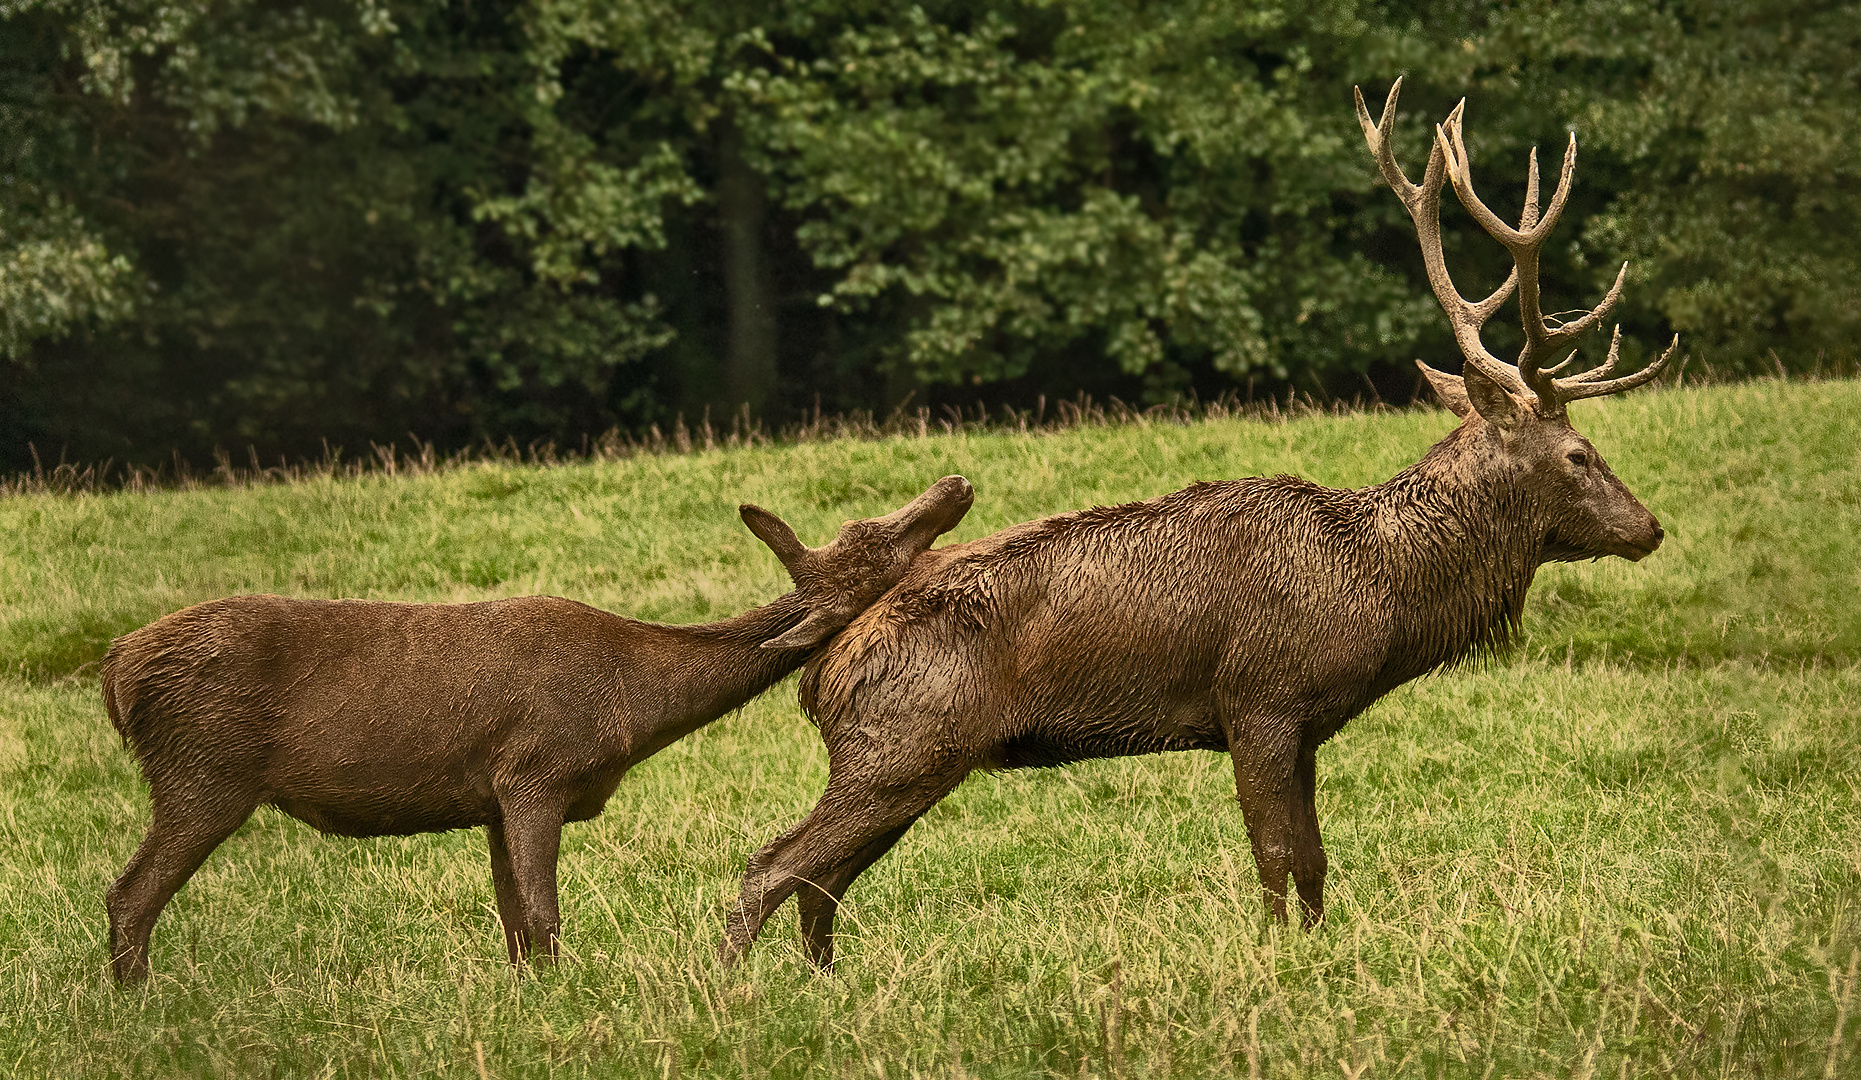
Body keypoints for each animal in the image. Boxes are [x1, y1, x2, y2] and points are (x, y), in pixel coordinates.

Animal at [101, 472, 975, 975]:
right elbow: (546, 916)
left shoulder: (490, 796)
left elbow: (516, 924)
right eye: (881, 542)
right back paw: (137, 1000)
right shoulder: (537, 769)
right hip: (204, 769)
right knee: (129, 893)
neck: (633, 706)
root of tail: (116, 672)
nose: (955, 481)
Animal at [718, 80, 1682, 968]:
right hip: (901, 742)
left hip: (914, 758)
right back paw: (736, 996)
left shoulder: (1303, 725)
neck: (1375, 590)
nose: (1649, 527)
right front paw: (1275, 957)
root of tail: (822, 672)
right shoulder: (1258, 696)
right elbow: (1276, 854)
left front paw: (1316, 952)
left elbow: (1314, 861)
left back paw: (823, 983)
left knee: (819, 881)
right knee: (770, 867)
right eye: (1578, 454)